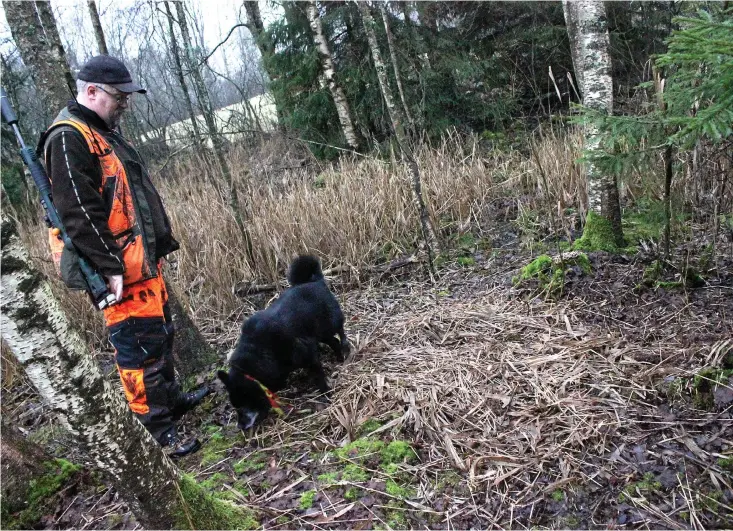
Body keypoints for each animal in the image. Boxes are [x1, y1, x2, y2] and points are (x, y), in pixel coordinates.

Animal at [217, 255, 348, 432]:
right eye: (236, 407)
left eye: (244, 405)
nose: (241, 426)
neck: (261, 353)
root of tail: (316, 281)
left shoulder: (308, 354)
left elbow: (318, 376)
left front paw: (325, 393)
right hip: (319, 333)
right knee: (333, 341)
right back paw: (340, 357)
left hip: (329, 324)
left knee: (340, 330)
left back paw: (346, 347)